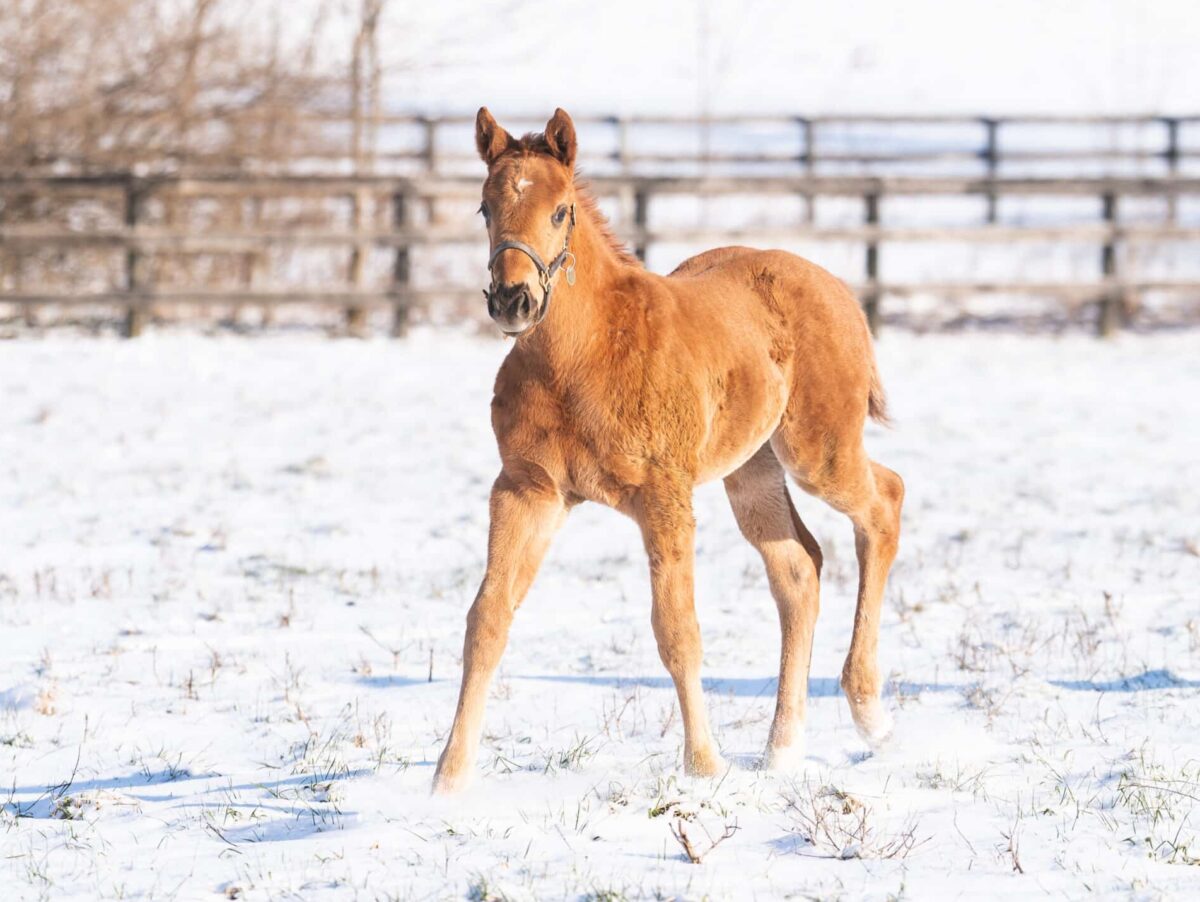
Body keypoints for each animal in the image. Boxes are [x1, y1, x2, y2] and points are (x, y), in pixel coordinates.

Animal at [432, 107, 902, 796]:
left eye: (561, 210)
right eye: (485, 207)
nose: (513, 301)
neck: (581, 357)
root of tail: (838, 288)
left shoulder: (664, 497)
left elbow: (676, 631)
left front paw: (702, 766)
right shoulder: (527, 490)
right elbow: (487, 620)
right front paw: (448, 781)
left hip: (818, 450)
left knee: (884, 503)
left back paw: (869, 713)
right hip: (751, 470)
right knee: (798, 569)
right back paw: (782, 751)